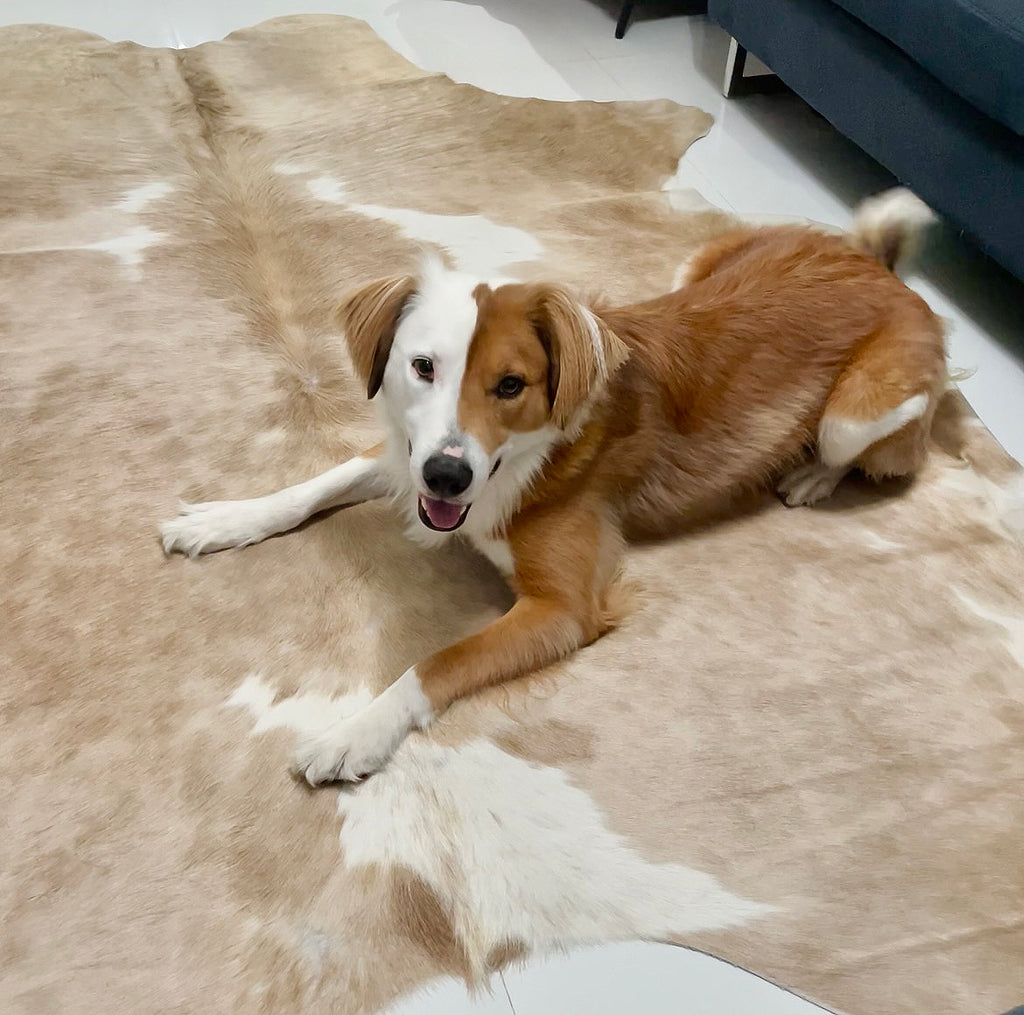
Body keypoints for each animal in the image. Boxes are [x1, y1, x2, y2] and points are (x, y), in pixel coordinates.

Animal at [161, 190, 942, 790]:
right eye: (423, 366)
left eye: (511, 385)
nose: (448, 476)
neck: (517, 464)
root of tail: (879, 267)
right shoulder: (407, 459)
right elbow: (316, 483)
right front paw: (224, 520)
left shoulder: (562, 609)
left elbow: (437, 660)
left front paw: (354, 732)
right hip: (697, 262)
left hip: (853, 416)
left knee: (890, 434)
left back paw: (812, 473)